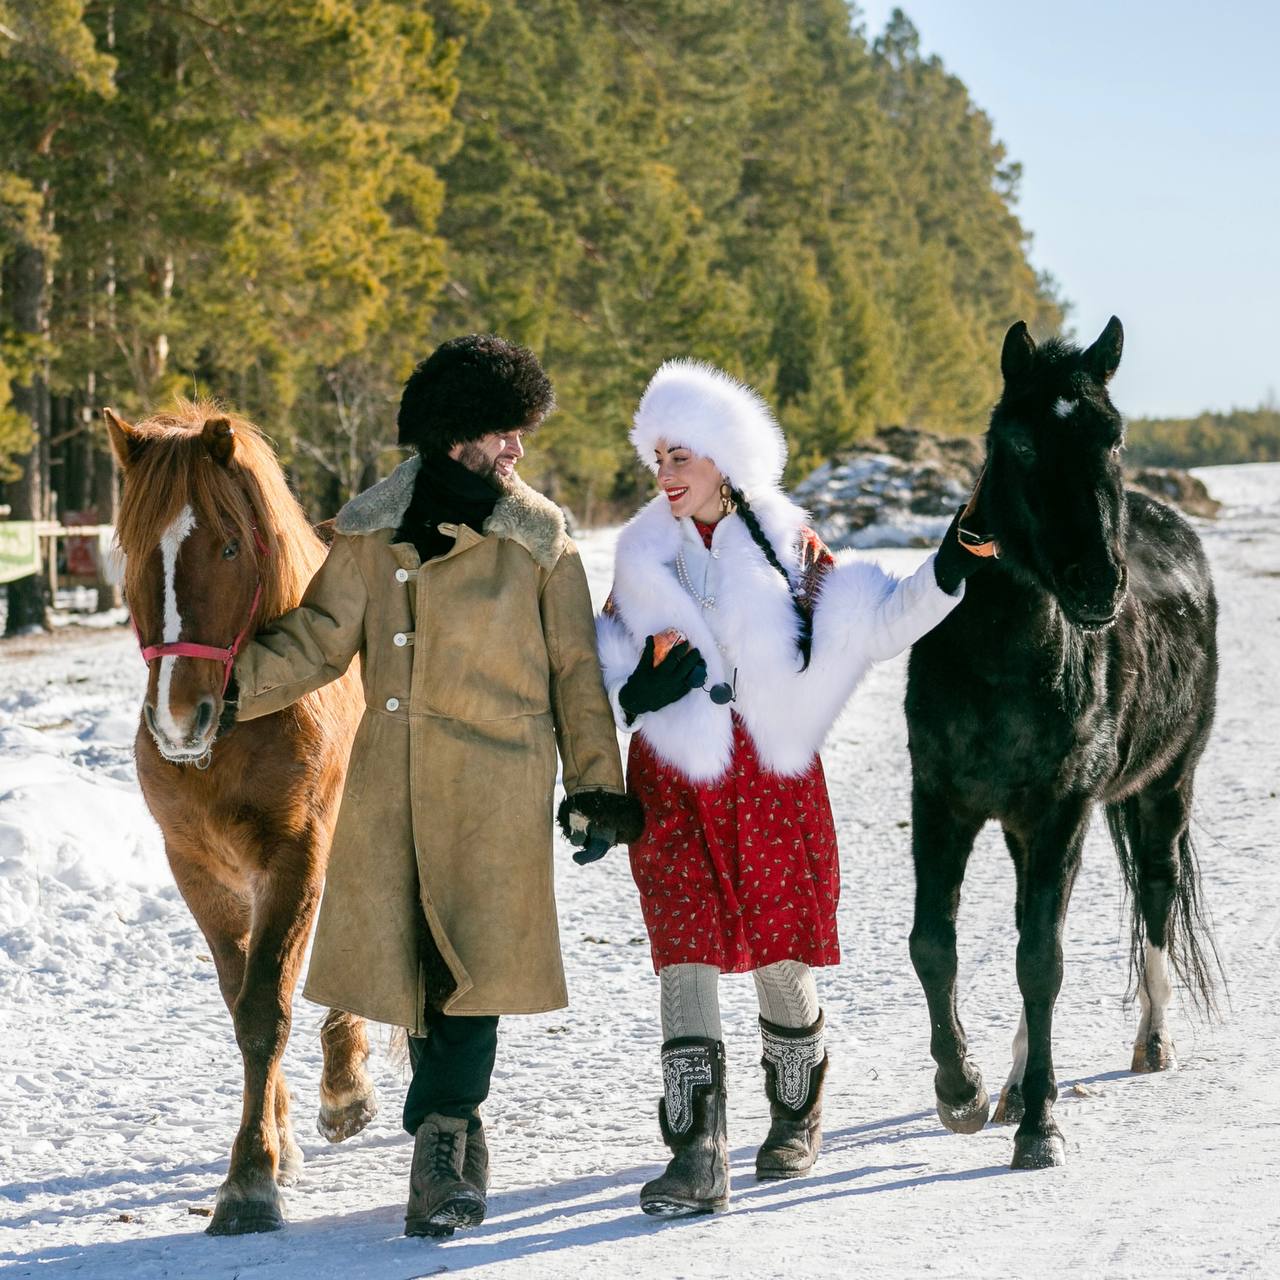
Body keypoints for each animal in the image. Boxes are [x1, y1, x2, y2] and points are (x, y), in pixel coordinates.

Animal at [106, 396, 373, 1228]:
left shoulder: (296, 855)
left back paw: (348, 1088)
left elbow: (265, 1009)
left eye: (227, 547)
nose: (176, 719)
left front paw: (251, 1179)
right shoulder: (199, 869)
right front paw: (277, 1144)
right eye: (130, 548)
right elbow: (240, 998)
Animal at [906, 317, 1213, 1172]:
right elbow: (933, 945)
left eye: (1115, 436)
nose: (1096, 583)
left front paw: (1042, 1126)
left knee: (1154, 899)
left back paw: (1151, 1043)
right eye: (1021, 440)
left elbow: (1041, 962)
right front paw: (962, 1092)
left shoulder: (1061, 808)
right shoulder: (941, 801)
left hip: (1165, 788)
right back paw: (1009, 1087)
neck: (1001, 657)